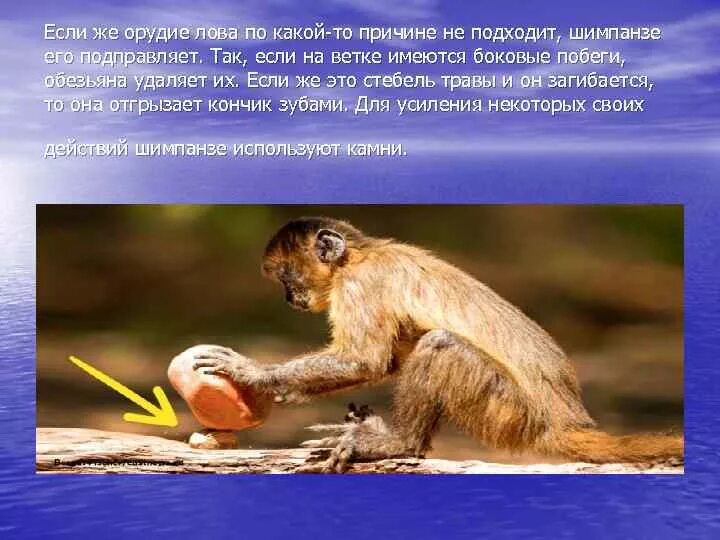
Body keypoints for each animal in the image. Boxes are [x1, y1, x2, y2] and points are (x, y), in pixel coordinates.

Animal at [191, 216, 683, 472]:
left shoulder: (359, 283)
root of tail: (567, 418)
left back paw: (400, 444)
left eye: (287, 278)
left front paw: (252, 373)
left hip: (512, 414)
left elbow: (365, 360)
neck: (361, 255)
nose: (289, 298)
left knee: (441, 344)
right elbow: (385, 361)